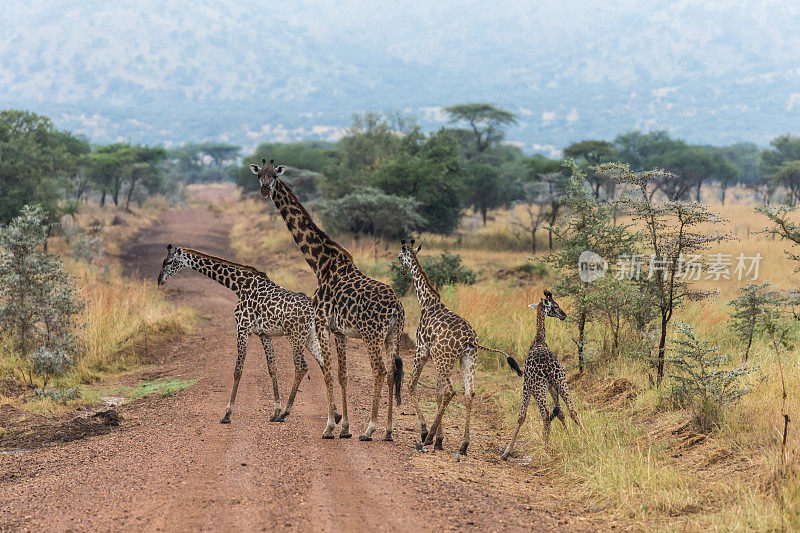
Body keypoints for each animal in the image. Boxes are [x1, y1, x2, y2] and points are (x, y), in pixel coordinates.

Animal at [158, 244, 340, 424]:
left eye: (168, 262)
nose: (160, 280)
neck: (239, 285)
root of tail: (315, 311)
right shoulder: (264, 334)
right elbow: (272, 368)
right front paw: (275, 411)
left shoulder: (242, 328)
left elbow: (238, 370)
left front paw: (227, 414)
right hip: (310, 336)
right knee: (325, 365)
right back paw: (335, 414)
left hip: (296, 335)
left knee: (302, 367)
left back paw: (286, 413)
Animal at [248, 158, 404, 440]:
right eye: (259, 176)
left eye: (274, 176)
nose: (265, 190)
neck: (320, 264)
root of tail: (397, 306)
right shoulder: (339, 331)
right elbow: (342, 375)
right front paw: (345, 428)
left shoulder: (321, 323)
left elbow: (328, 372)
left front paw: (330, 427)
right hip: (392, 335)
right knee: (391, 373)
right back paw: (387, 431)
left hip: (372, 335)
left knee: (379, 370)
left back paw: (370, 428)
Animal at [398, 240, 512, 458]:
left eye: (399, 257)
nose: (401, 271)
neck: (426, 302)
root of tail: (469, 338)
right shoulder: (434, 356)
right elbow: (437, 393)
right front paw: (440, 440)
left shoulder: (422, 351)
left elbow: (412, 386)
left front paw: (427, 433)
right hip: (468, 359)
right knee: (469, 393)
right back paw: (464, 445)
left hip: (445, 359)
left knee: (451, 391)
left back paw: (428, 437)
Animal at [500, 288, 580, 460]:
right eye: (555, 306)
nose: (564, 315)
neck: (539, 341)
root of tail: (549, 367)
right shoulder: (551, 385)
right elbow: (561, 412)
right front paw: (569, 436)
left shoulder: (526, 384)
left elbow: (521, 415)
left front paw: (507, 451)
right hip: (561, 382)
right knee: (572, 410)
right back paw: (583, 435)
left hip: (538, 387)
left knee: (545, 414)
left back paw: (546, 449)